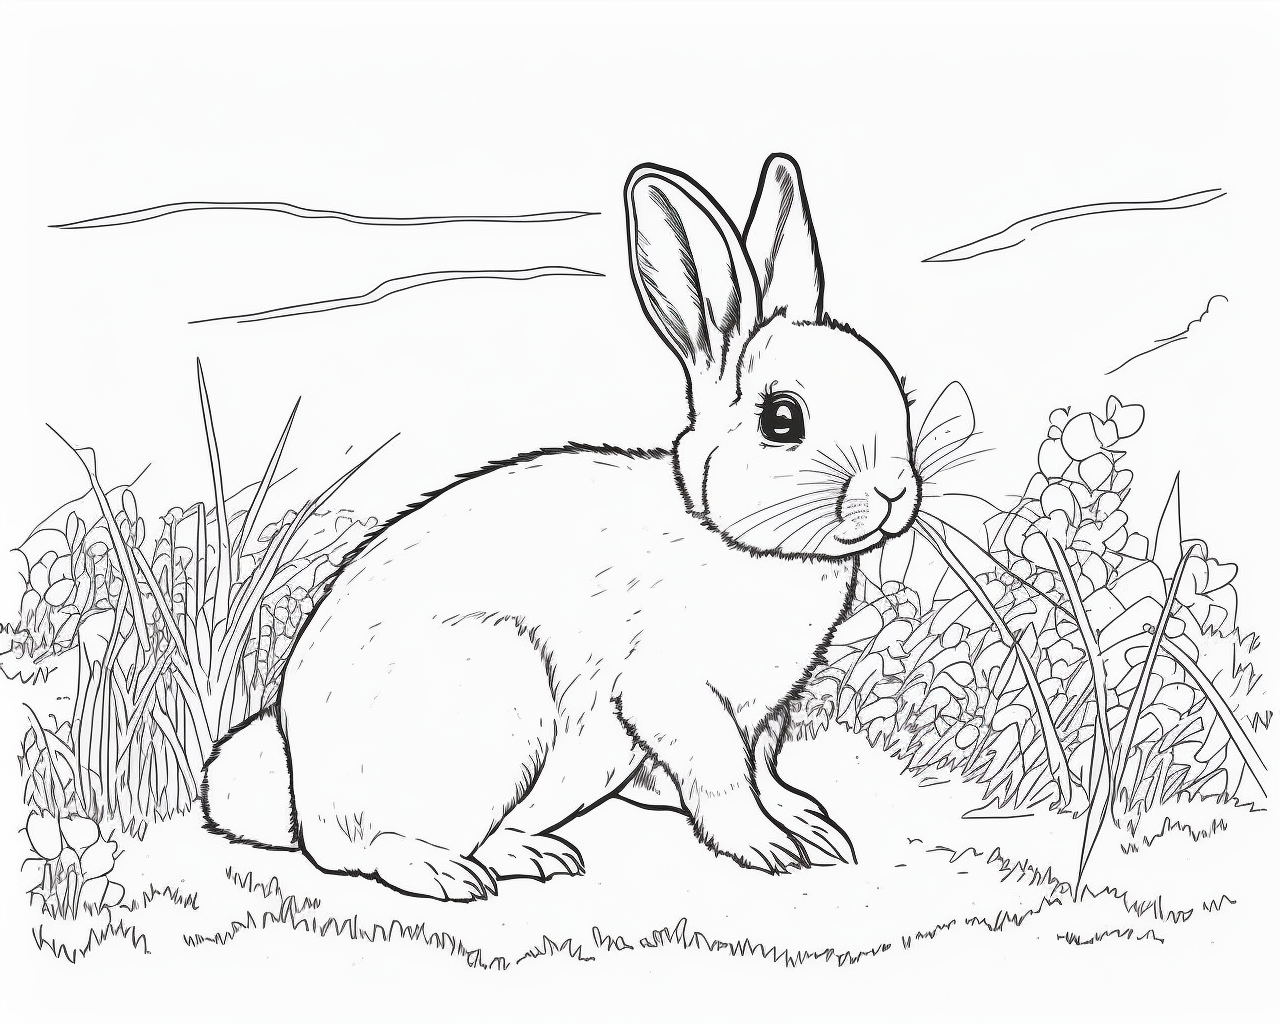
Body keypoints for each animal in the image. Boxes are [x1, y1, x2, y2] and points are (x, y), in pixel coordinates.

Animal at [201, 154, 922, 901]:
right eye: (782, 419)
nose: (893, 491)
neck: (726, 536)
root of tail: (303, 791)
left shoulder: (766, 711)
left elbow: (764, 768)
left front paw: (811, 823)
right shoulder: (671, 691)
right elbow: (722, 776)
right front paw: (768, 846)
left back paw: (531, 852)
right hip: (495, 702)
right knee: (368, 850)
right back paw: (456, 871)